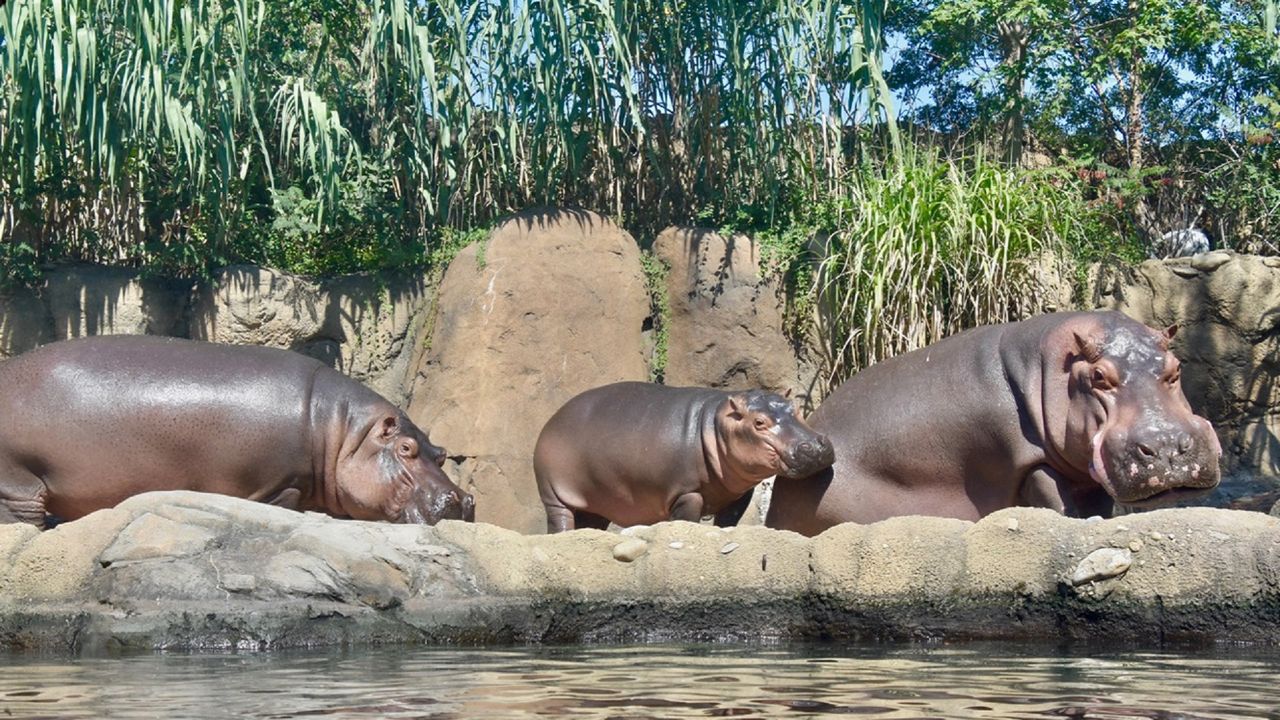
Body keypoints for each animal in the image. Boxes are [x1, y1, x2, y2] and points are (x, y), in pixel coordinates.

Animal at [0, 333, 476, 525]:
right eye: (406, 449)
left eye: (441, 453)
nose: (463, 499)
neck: (340, 433)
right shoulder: (274, 482)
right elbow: (284, 499)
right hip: (20, 481)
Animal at [535, 384, 834, 530]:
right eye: (759, 422)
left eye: (795, 408)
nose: (815, 446)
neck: (716, 426)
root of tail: (552, 419)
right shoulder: (687, 493)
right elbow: (686, 520)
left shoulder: (739, 494)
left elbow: (728, 521)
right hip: (553, 493)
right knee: (560, 519)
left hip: (597, 503)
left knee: (590, 523)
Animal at [762, 308, 1223, 532]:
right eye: (1099, 377)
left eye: (1176, 368)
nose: (1167, 448)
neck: (1051, 370)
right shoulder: (1032, 464)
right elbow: (1055, 500)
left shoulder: (1088, 477)